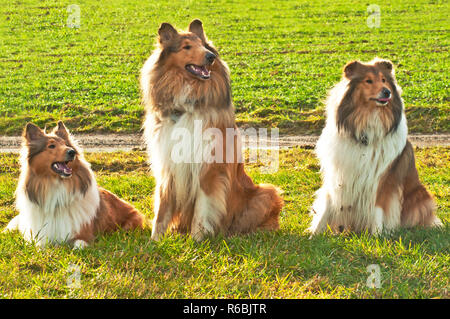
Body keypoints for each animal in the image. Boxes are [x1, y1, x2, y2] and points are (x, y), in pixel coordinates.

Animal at [5, 122, 146, 248]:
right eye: (51, 146)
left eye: (66, 144)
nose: (72, 152)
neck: (57, 186)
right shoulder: (40, 237)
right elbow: (41, 247)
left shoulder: (84, 235)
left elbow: (78, 245)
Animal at [141, 19, 284, 240]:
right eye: (186, 47)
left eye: (204, 45)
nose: (211, 57)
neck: (188, 104)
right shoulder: (168, 168)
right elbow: (162, 211)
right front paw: (155, 241)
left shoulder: (209, 170)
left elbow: (203, 209)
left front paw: (197, 240)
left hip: (266, 193)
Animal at [310, 58, 440, 235]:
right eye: (368, 81)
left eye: (384, 80)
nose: (387, 92)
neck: (366, 128)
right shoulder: (337, 175)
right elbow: (327, 207)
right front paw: (313, 234)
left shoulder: (382, 180)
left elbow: (377, 208)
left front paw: (377, 235)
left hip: (420, 195)